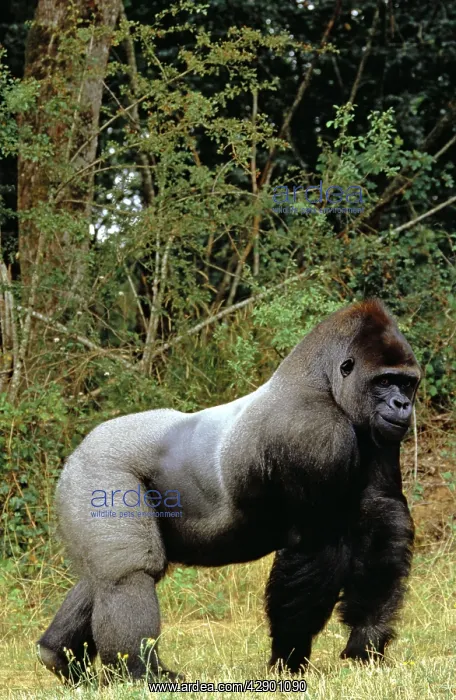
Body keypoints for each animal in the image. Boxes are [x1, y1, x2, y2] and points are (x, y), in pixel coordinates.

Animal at [37, 299, 420, 683]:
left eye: (406, 383)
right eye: (385, 381)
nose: (403, 405)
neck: (322, 382)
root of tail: (79, 449)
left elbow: (381, 516)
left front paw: (367, 638)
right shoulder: (316, 434)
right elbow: (317, 546)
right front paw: (289, 656)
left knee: (101, 578)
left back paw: (57, 654)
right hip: (101, 468)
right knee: (128, 574)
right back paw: (140, 671)